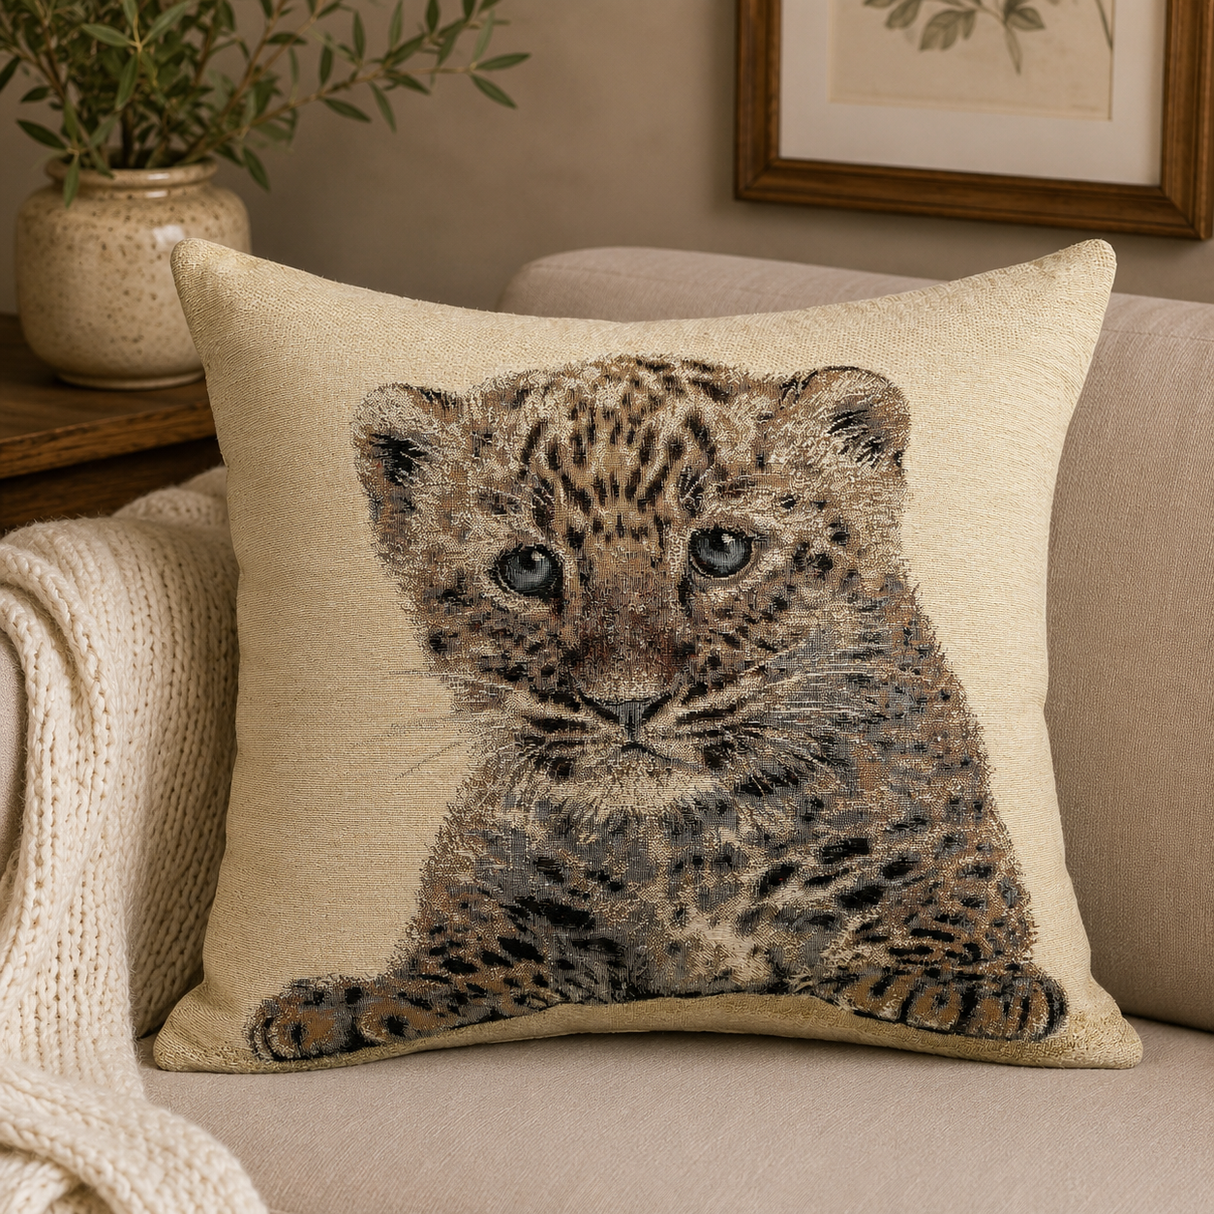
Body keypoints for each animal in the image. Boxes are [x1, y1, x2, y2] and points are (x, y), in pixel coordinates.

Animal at [249, 354, 1067, 1062]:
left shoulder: (950, 846)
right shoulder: (499, 888)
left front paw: (955, 985)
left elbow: (944, 898)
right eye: (528, 566)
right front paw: (362, 1006)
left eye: (722, 550)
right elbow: (469, 953)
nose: (627, 702)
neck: (686, 854)